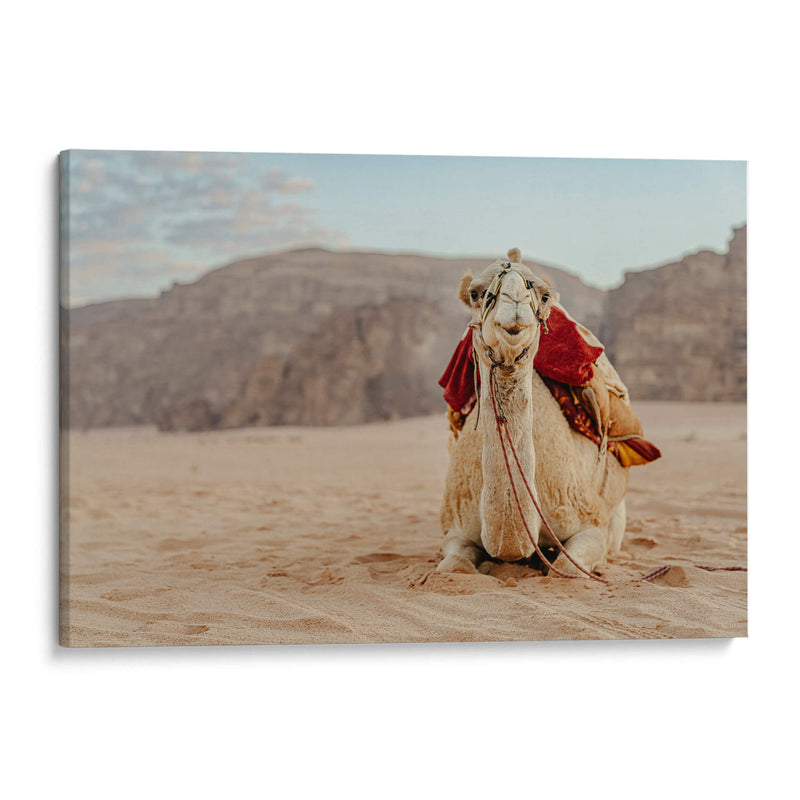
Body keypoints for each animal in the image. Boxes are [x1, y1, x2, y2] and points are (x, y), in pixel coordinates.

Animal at [438, 252, 629, 576]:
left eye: (545, 295)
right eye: (475, 293)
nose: (514, 298)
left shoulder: (592, 521)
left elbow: (567, 566)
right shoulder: (455, 527)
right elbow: (452, 566)